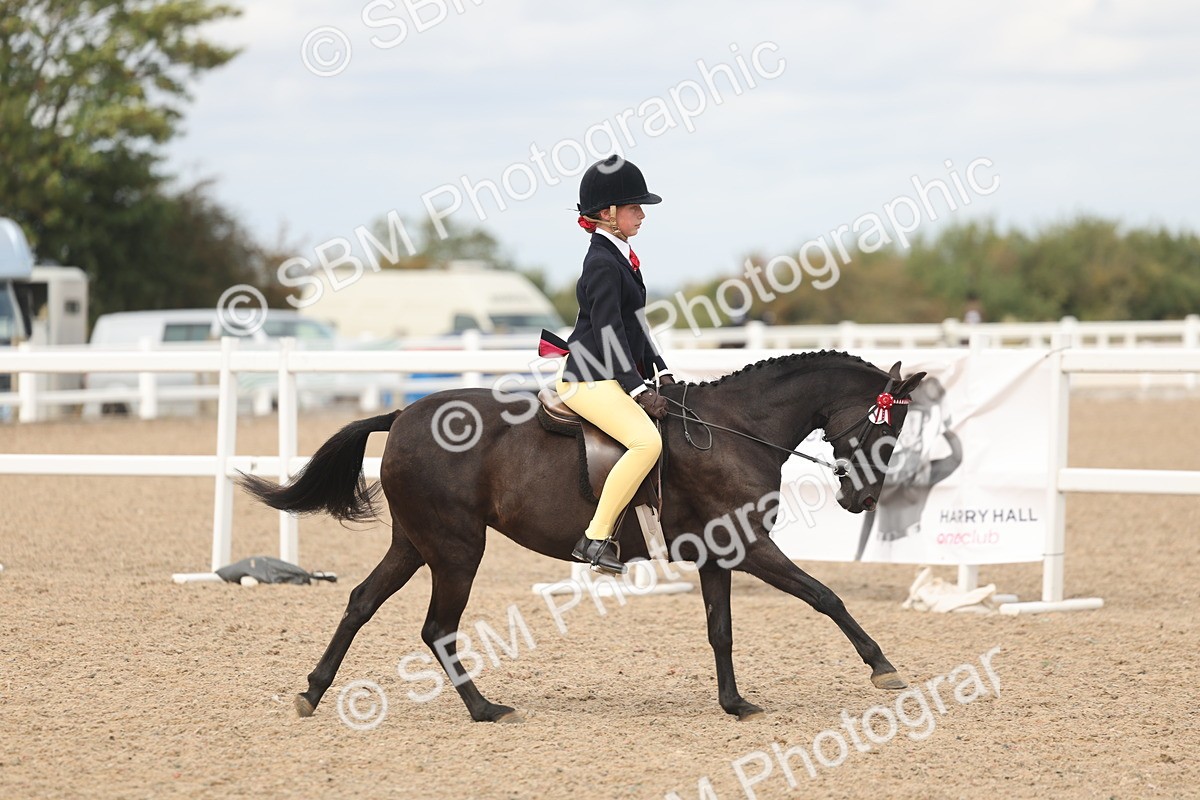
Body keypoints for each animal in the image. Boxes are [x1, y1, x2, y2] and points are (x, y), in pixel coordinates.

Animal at [239, 350, 925, 723]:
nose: (862, 500)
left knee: (360, 603)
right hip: (458, 551)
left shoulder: (719, 553)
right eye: (887, 430)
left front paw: (734, 702)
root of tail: (403, 412)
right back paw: (486, 710)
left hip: (413, 545)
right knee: (437, 628)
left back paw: (312, 692)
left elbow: (721, 629)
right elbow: (825, 597)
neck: (735, 429)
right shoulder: (752, 546)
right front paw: (884, 668)